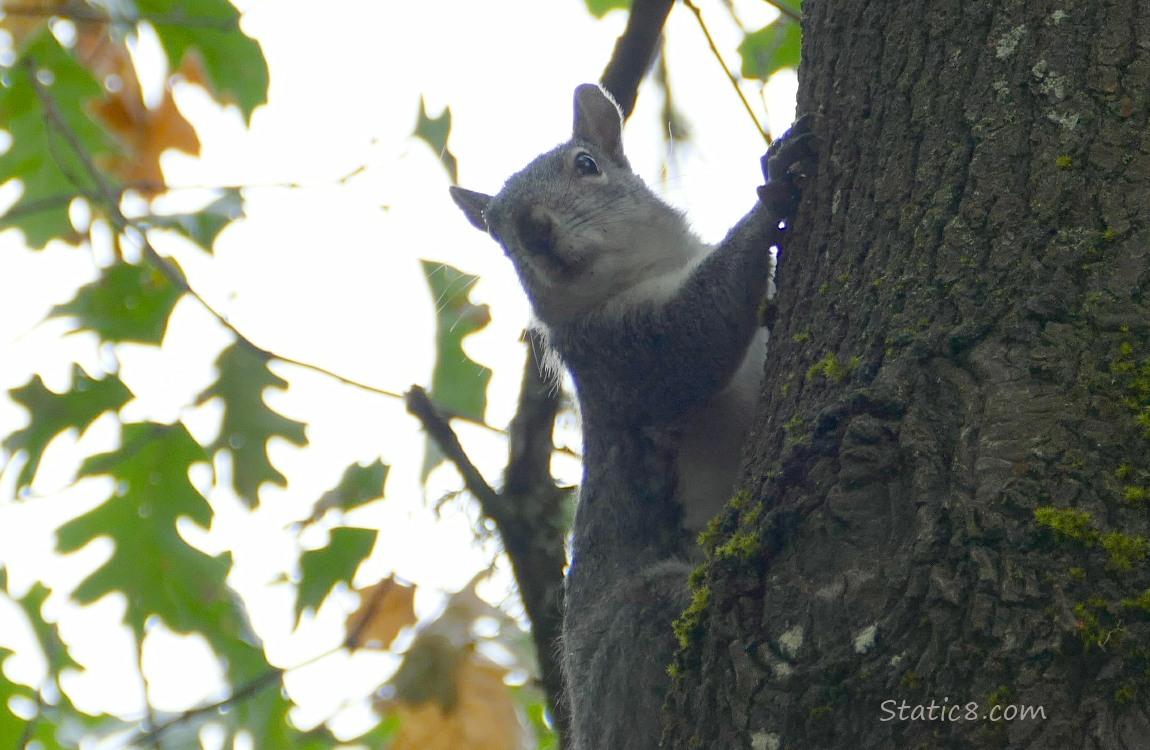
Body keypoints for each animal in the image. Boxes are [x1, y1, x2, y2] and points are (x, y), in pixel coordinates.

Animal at [450, 85, 818, 750]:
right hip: (647, 622)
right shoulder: (617, 361)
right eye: (497, 230)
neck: (645, 273)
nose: (534, 227)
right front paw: (771, 193)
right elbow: (692, 342)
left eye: (586, 164)